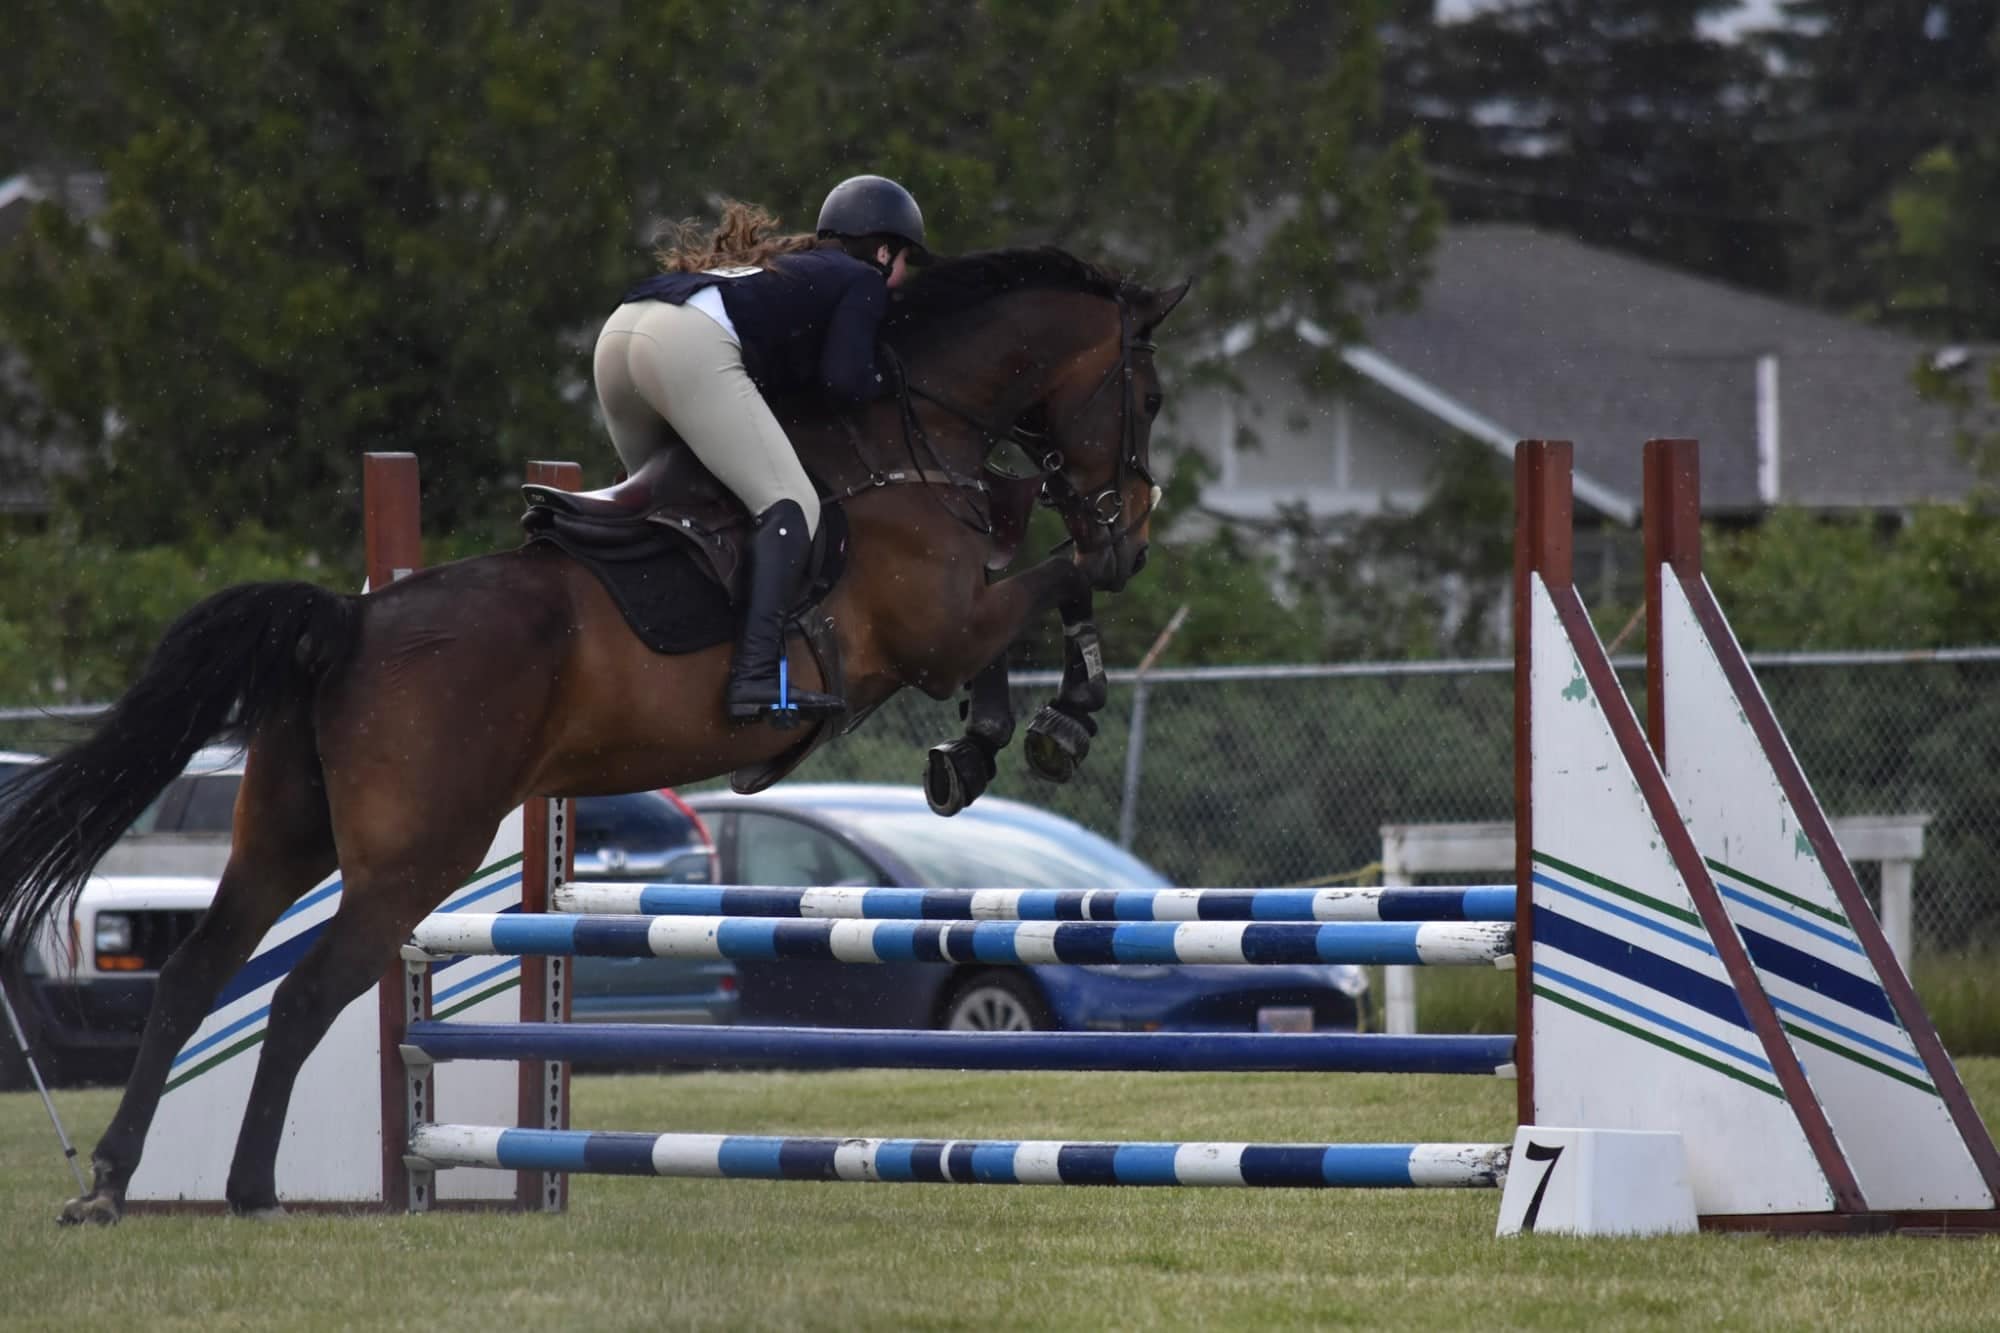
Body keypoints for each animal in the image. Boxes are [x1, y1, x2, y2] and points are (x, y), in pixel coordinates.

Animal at [0, 247, 1189, 1224]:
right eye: (1150, 395)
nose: (1134, 534)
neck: (906, 436)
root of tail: (352, 620)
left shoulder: (954, 625)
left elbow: (1027, 603)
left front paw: (987, 743)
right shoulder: (941, 626)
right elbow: (1051, 584)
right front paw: (1059, 713)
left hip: (287, 836)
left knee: (195, 975)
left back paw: (111, 1185)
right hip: (412, 857)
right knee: (297, 996)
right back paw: (252, 1191)